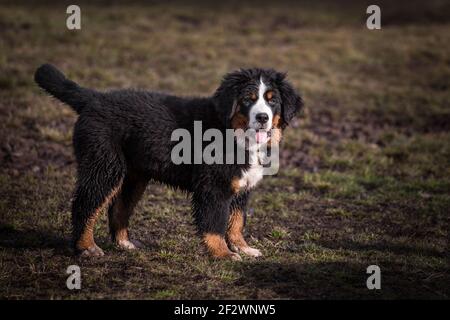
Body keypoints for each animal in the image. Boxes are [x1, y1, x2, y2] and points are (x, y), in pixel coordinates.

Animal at [34, 64, 302, 260]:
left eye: (272, 100)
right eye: (247, 99)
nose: (262, 117)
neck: (232, 131)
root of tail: (94, 98)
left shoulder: (241, 187)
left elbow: (236, 222)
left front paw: (242, 247)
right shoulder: (213, 187)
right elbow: (215, 223)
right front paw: (223, 254)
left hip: (133, 176)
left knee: (118, 207)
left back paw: (124, 243)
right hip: (104, 165)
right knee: (86, 204)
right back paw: (86, 247)